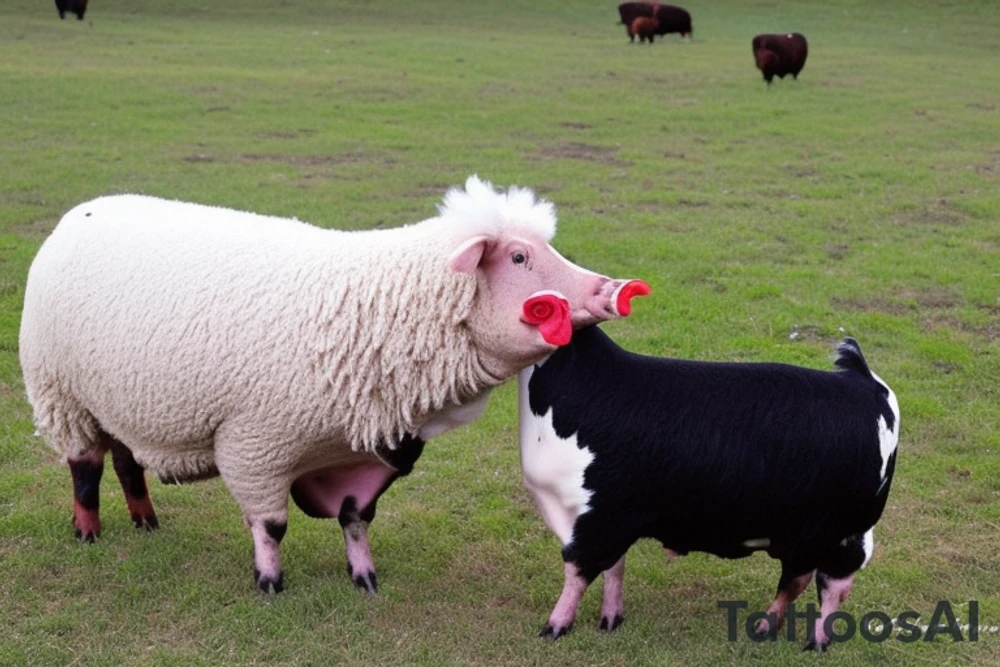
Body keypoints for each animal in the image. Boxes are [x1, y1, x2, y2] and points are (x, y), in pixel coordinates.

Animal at [19, 176, 642, 594]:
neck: (377, 313)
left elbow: (354, 518)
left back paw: (145, 520)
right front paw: (269, 581)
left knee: (126, 460)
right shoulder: (254, 446)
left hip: (119, 400)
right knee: (85, 468)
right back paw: (88, 531)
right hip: (62, 393)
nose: (613, 289)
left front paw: (363, 576)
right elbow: (271, 525)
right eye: (518, 256)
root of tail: (82, 211)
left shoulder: (358, 455)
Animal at [518, 314, 899, 651]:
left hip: (838, 530)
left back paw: (813, 643)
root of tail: (865, 383)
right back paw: (764, 629)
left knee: (828, 581)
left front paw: (553, 629)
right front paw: (609, 622)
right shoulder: (610, 520)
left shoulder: (600, 516)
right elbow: (614, 566)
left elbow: (579, 570)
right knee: (802, 578)